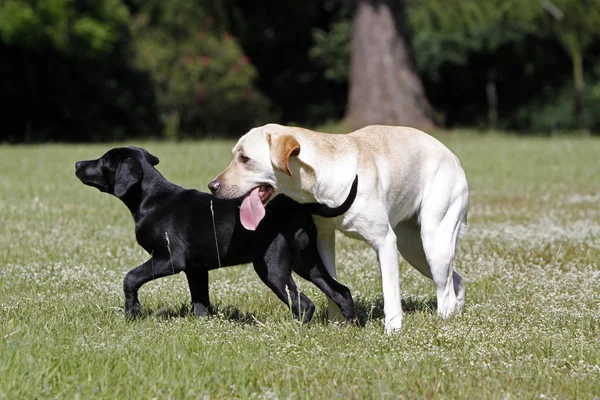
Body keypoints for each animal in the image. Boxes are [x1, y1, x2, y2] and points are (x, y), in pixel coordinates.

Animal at [75, 146, 356, 322]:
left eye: (104, 161)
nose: (77, 163)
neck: (150, 199)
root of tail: (298, 206)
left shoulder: (169, 259)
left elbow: (130, 277)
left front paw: (132, 312)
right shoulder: (196, 270)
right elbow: (200, 303)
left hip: (272, 267)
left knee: (304, 304)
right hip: (307, 261)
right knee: (341, 291)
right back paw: (353, 326)